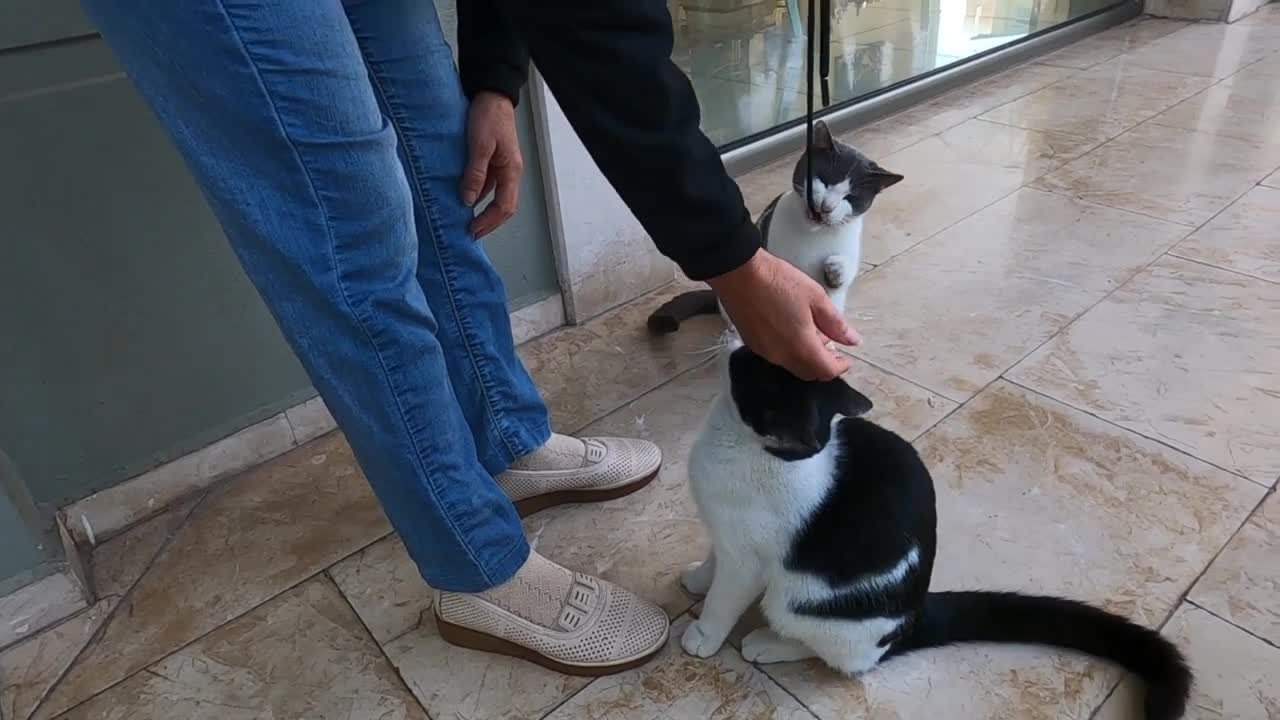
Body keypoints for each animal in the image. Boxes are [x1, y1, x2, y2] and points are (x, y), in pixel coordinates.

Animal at [645, 121, 906, 333]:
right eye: (823, 179)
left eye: (851, 197)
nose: (827, 206)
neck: (813, 234)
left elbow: (845, 273)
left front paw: (837, 269)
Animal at [686, 335, 1192, 717]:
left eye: (749, 364)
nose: (735, 340)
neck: (741, 446)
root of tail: (915, 614)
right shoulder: (723, 535)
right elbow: (711, 563)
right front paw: (694, 579)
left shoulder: (746, 561)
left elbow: (723, 600)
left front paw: (704, 636)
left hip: (799, 602)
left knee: (849, 657)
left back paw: (769, 644)